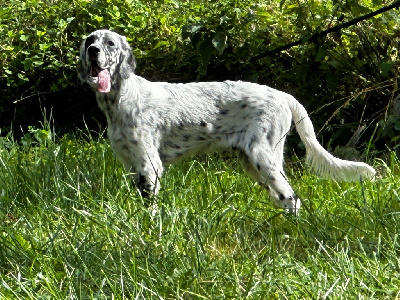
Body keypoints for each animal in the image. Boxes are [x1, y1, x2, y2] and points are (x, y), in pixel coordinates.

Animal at [77, 29, 376, 213]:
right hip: (255, 161)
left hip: (262, 157)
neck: (122, 98)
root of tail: (282, 94)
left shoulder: (150, 167)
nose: (92, 50)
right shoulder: (131, 165)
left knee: (291, 198)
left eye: (110, 43)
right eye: (90, 39)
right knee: (280, 197)